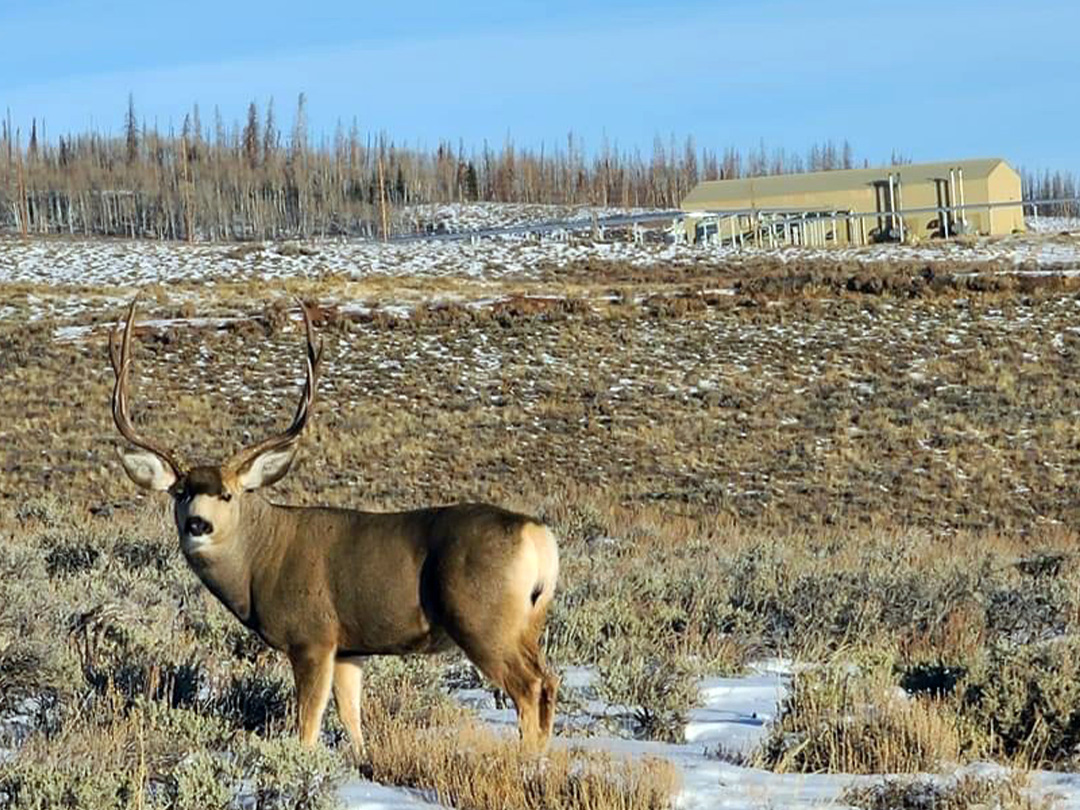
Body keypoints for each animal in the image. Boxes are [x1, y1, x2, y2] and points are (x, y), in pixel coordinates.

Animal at [109, 302, 561, 760]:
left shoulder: (312, 636)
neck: (258, 563)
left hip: (482, 619)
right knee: (550, 681)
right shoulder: (349, 648)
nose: (198, 524)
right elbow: (352, 718)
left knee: (530, 687)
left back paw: (528, 759)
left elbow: (307, 726)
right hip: (528, 621)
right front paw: (361, 759)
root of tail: (536, 533)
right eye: (180, 492)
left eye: (228, 495)